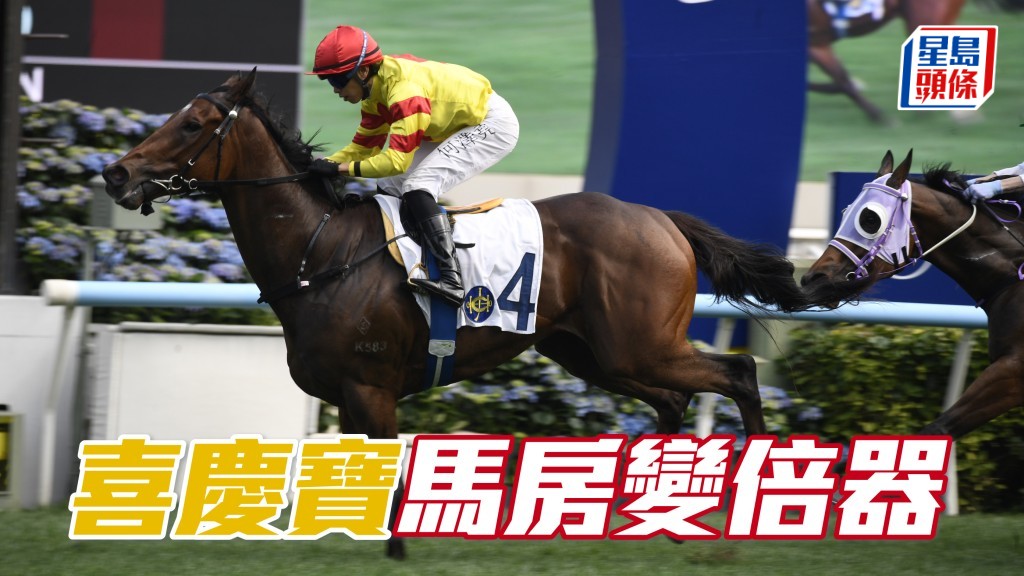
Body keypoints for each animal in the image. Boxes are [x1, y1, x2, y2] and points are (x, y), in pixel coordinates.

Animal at [101, 70, 811, 557]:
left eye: (193, 124)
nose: (116, 174)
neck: (322, 249)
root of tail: (661, 217)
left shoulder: (371, 388)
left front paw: (398, 548)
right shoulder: (346, 396)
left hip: (640, 345)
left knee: (738, 373)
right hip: (595, 353)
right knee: (672, 401)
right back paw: (646, 513)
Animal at [801, 149, 1024, 439]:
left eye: (869, 219)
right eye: (845, 211)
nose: (812, 280)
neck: (1014, 273)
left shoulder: (1012, 369)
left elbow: (937, 428)